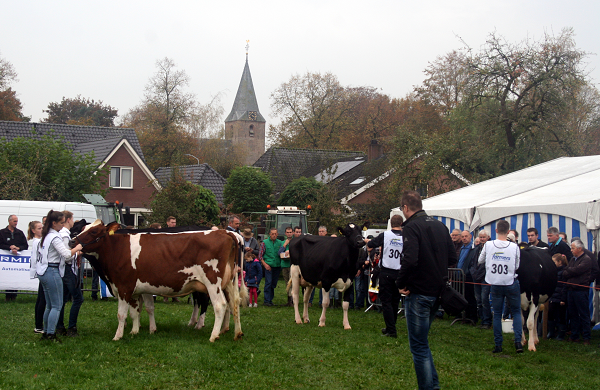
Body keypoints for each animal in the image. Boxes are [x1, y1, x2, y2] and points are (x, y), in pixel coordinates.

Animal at [74, 219, 245, 342]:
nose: (71, 242)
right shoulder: (138, 289)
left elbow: (122, 314)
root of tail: (224, 232)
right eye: (81, 230)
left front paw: (118, 336)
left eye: (94, 231)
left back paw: (212, 335)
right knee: (234, 302)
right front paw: (136, 331)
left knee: (219, 305)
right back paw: (235, 332)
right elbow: (136, 311)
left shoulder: (123, 287)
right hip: (227, 282)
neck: (118, 248)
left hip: (212, 282)